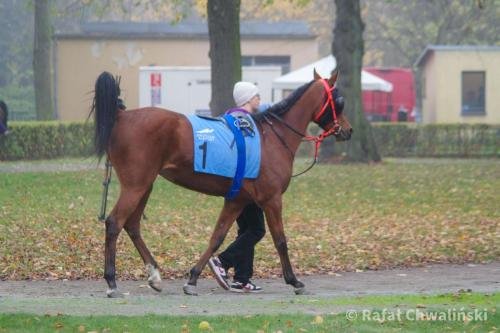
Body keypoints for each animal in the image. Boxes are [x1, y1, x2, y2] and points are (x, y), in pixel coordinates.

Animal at [92, 68, 354, 296]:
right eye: (339, 100)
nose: (348, 130)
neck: (272, 138)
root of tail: (122, 115)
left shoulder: (236, 200)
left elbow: (217, 237)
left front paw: (194, 278)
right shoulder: (272, 200)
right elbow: (280, 240)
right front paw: (294, 280)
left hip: (145, 185)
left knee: (132, 225)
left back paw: (154, 275)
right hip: (135, 185)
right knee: (114, 223)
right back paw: (112, 282)